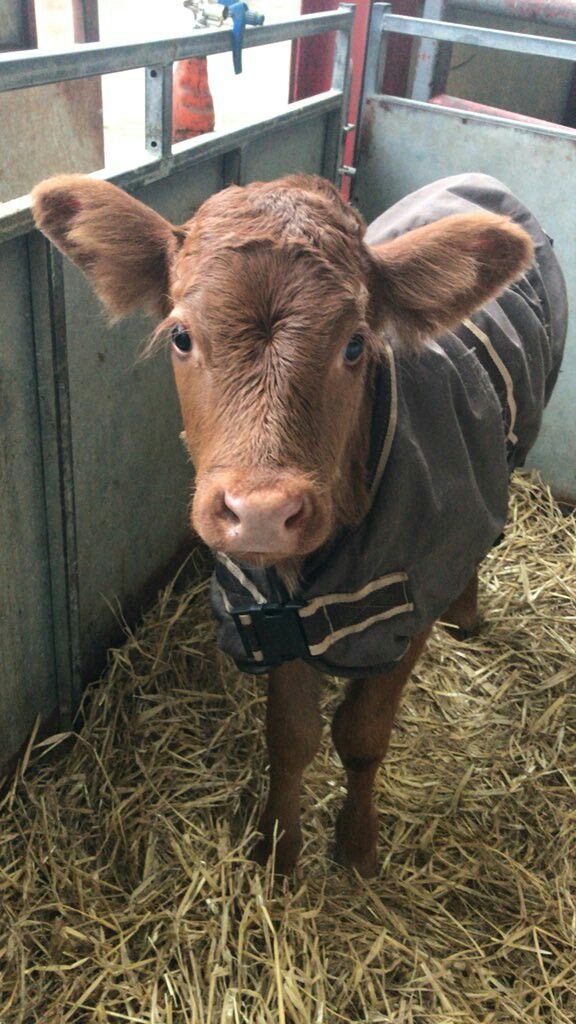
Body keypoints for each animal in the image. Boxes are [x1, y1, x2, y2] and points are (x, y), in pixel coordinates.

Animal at [31, 172, 532, 876]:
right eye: (181, 337)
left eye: (356, 344)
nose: (262, 512)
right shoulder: (275, 621)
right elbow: (291, 737)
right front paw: (278, 847)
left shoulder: (410, 607)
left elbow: (363, 735)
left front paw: (357, 847)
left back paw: (468, 609)